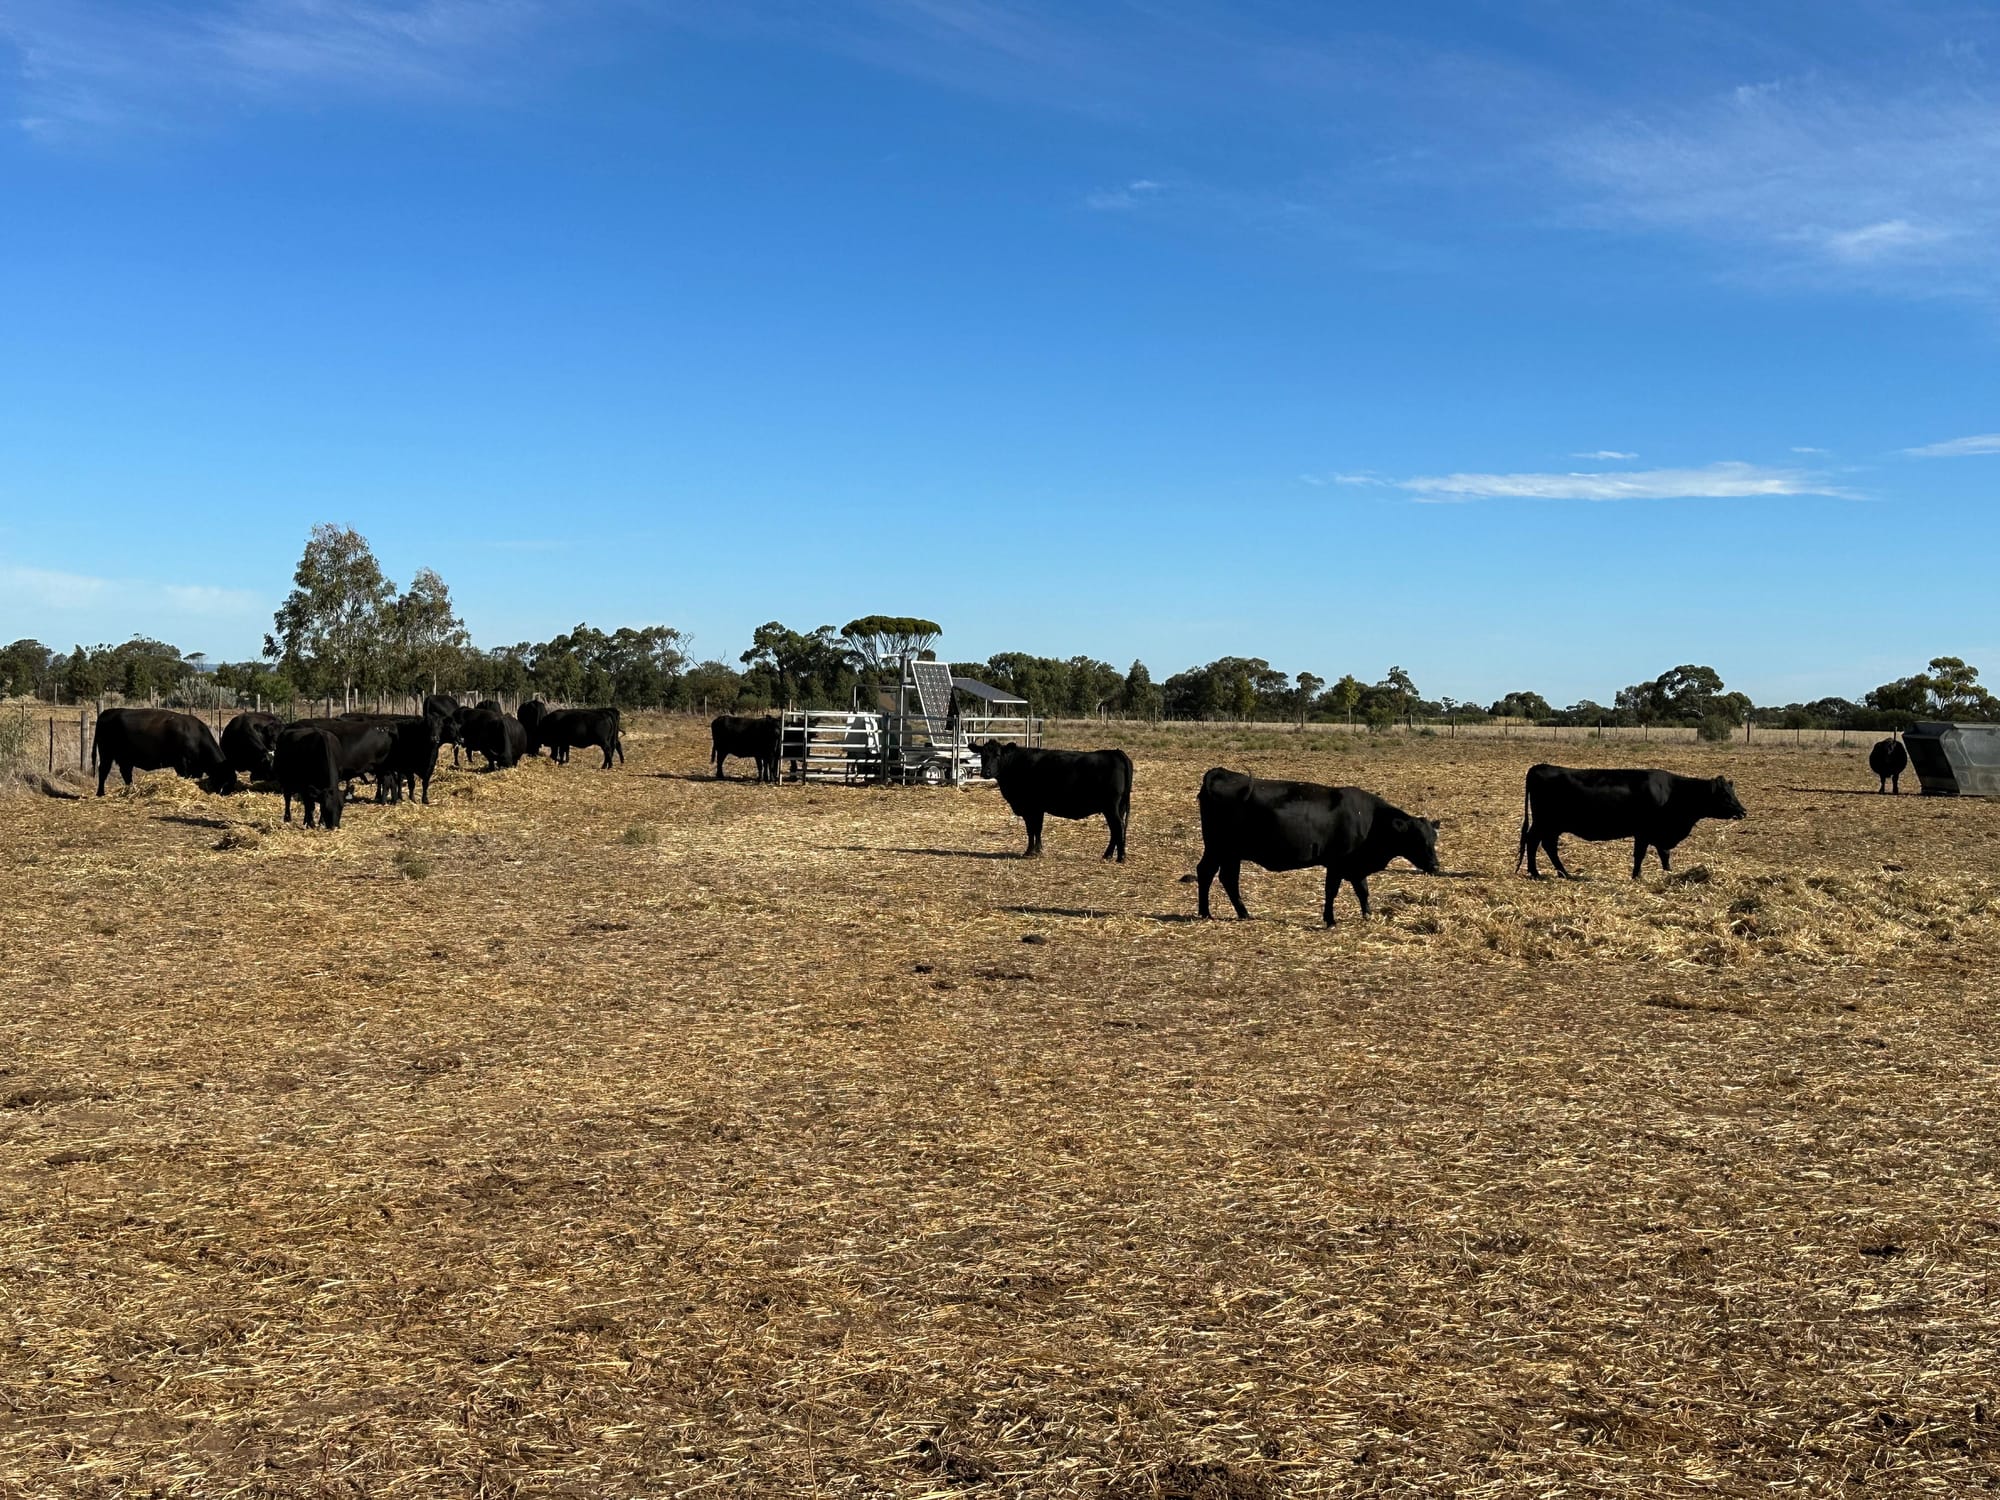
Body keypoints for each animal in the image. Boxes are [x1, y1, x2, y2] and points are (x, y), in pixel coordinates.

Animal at [93, 708, 229, 796]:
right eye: (225, 776)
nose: (225, 792)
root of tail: (107, 712)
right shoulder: (181, 763)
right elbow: (184, 776)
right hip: (106, 754)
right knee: (103, 770)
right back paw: (101, 793)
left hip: (125, 758)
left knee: (126, 773)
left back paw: (132, 789)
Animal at [973, 740, 1132, 861]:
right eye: (982, 755)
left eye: (998, 755)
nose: (985, 772)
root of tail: (1115, 753)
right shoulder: (1037, 809)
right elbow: (1036, 829)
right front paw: (1037, 850)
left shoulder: (1031, 808)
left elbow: (1032, 829)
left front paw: (1030, 852)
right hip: (1118, 807)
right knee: (1116, 830)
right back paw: (1108, 855)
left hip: (1111, 807)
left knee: (1118, 827)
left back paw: (1120, 857)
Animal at [1194, 770, 1440, 925]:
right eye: (1418, 839)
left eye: (1434, 838)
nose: (1436, 866)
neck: (1370, 819)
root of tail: (1221, 772)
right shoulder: (1336, 863)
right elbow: (1331, 891)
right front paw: (1330, 920)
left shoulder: (1355, 866)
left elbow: (1363, 891)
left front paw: (1368, 915)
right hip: (1218, 849)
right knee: (1207, 873)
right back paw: (1206, 912)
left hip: (1230, 853)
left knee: (1226, 878)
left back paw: (1240, 913)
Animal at [1517, 763, 1746, 880]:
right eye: (1725, 795)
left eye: (1733, 792)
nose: (1743, 812)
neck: (1673, 793)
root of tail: (1539, 767)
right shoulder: (1643, 832)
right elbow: (1640, 855)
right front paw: (1637, 876)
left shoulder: (1658, 833)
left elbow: (1664, 853)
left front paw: (1669, 873)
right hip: (1545, 823)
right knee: (1533, 842)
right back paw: (1538, 873)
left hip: (1553, 826)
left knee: (1547, 845)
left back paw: (1562, 873)